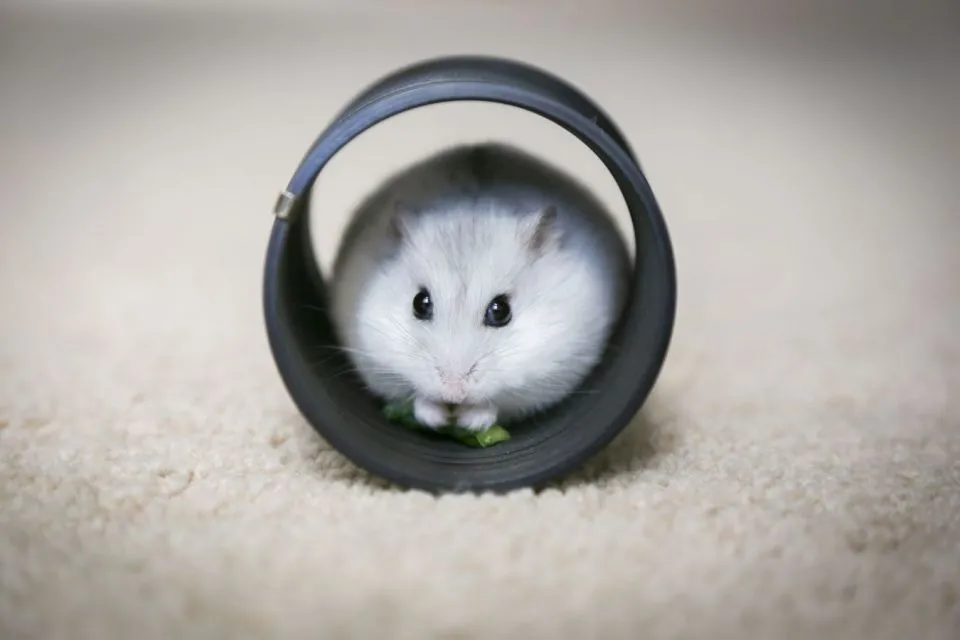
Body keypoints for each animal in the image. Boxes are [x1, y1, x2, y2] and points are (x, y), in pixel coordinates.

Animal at [328, 142, 631, 432]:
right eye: (419, 303)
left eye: (500, 311)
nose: (453, 392)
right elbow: (416, 398)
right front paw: (437, 417)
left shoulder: (550, 373)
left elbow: (498, 404)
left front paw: (470, 421)